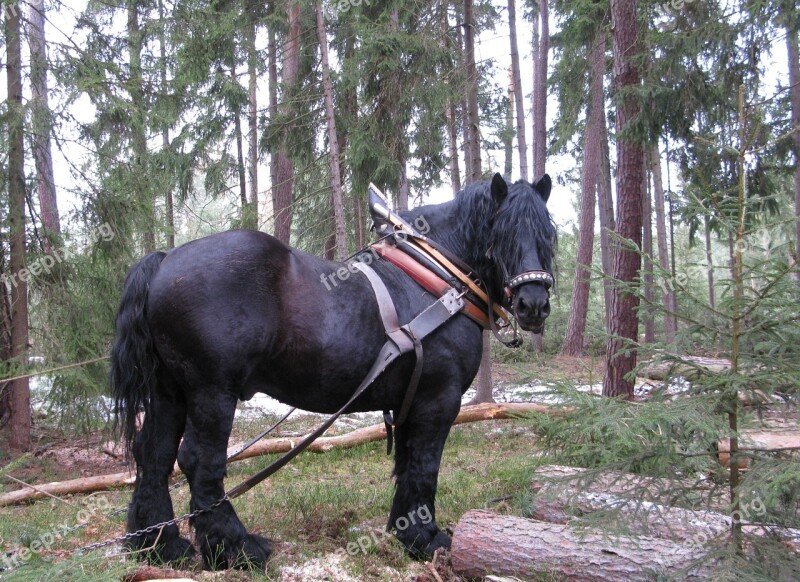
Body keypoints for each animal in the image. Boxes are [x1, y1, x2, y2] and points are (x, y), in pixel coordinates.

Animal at [109, 172, 552, 572]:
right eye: (504, 233)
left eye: (547, 234)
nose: (534, 304)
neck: (436, 280)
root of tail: (165, 260)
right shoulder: (438, 400)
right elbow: (426, 466)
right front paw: (427, 539)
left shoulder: (410, 401)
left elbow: (408, 464)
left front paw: (405, 533)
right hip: (212, 392)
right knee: (199, 462)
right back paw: (236, 549)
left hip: (170, 391)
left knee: (154, 455)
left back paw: (160, 546)